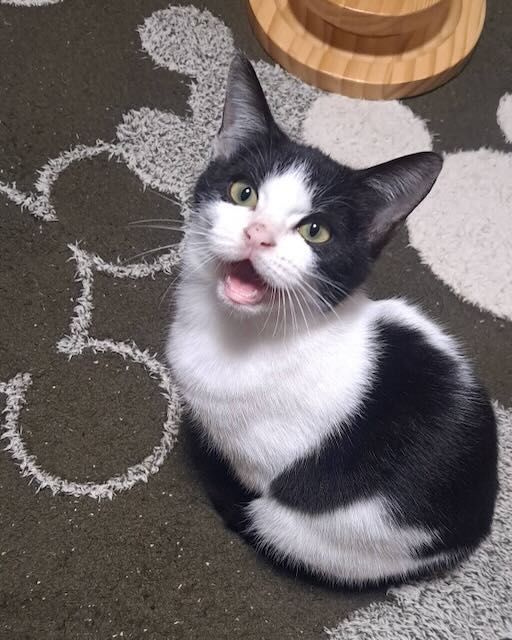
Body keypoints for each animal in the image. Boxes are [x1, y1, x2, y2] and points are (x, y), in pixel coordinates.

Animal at [167, 53, 496, 584]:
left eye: (315, 231)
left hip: (311, 531)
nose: (258, 234)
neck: (237, 333)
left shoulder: (261, 466)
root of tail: (473, 529)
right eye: (243, 192)